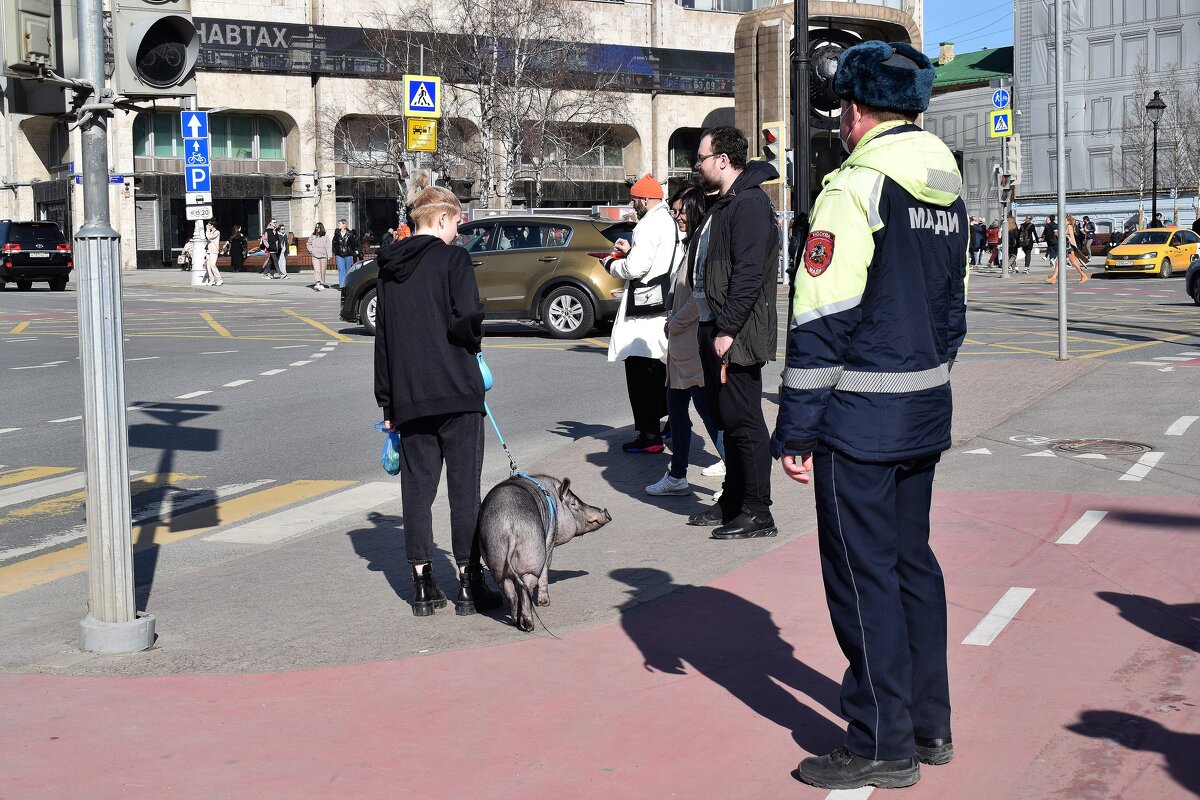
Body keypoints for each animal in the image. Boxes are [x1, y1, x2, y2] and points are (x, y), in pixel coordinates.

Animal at [477, 474, 609, 633]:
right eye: (573, 504)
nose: (606, 512)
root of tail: (510, 528)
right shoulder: (549, 541)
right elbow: (546, 570)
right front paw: (544, 602)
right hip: (533, 556)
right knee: (528, 586)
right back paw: (529, 624)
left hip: (496, 556)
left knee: (510, 590)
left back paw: (515, 620)